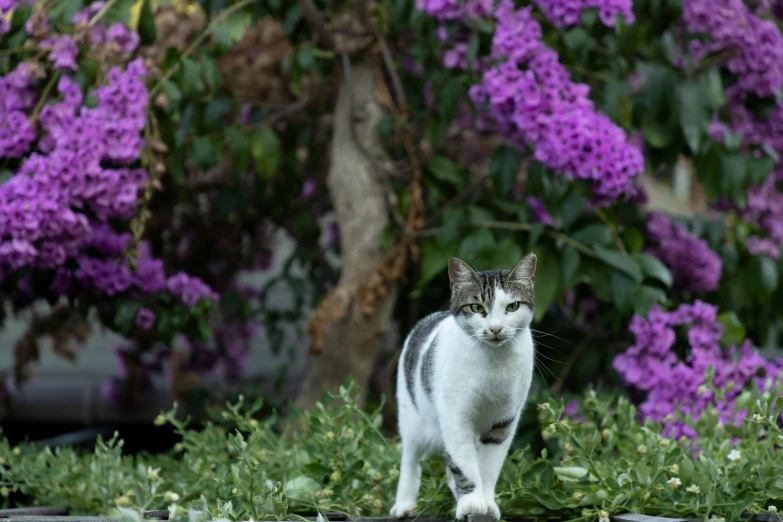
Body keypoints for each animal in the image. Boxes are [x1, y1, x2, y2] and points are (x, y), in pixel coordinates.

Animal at [388, 251, 536, 516]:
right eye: (477, 307)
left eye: (512, 306)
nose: (495, 328)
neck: (494, 362)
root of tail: (429, 317)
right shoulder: (455, 415)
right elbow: (464, 463)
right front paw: (471, 501)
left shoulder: (504, 420)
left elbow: (488, 467)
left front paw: (485, 503)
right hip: (411, 417)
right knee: (411, 459)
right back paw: (404, 504)